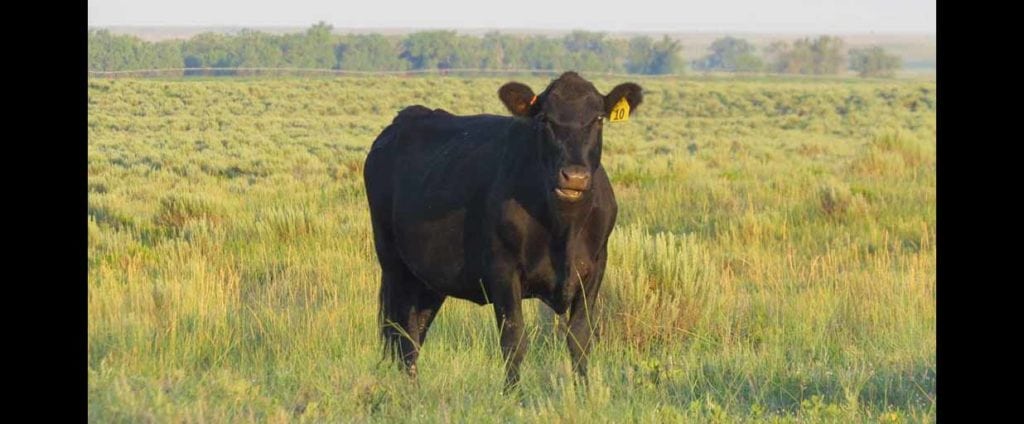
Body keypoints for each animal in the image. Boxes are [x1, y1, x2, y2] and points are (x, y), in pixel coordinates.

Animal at [364, 70, 643, 391]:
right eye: (545, 119)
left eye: (598, 118)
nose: (574, 176)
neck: (564, 229)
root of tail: (403, 119)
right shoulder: (503, 271)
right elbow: (514, 340)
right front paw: (513, 396)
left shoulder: (594, 270)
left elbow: (580, 338)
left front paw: (584, 392)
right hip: (394, 265)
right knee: (402, 334)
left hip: (430, 278)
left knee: (416, 332)